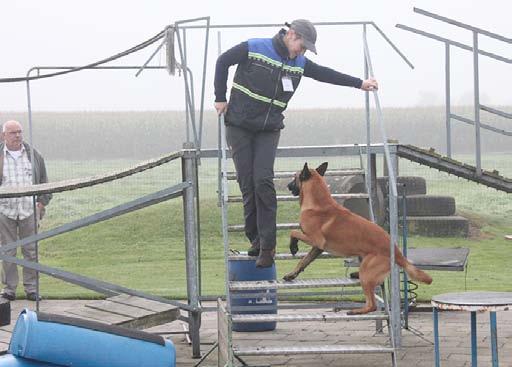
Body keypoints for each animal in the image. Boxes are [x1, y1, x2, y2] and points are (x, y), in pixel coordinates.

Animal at [284, 162, 432, 314]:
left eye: (294, 177)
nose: (287, 186)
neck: (317, 203)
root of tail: (397, 252)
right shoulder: (317, 247)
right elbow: (304, 261)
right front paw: (292, 274)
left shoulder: (316, 240)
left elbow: (294, 232)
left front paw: (293, 247)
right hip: (363, 261)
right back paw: (355, 275)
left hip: (366, 273)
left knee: (372, 304)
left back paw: (356, 310)